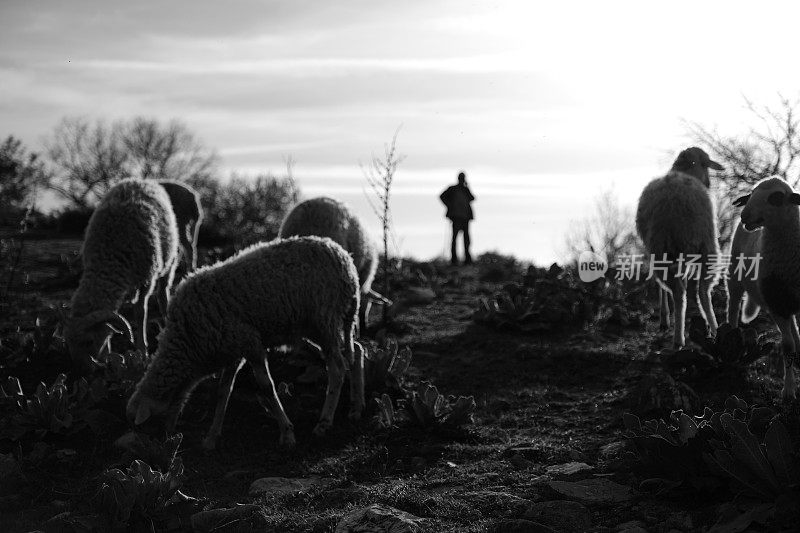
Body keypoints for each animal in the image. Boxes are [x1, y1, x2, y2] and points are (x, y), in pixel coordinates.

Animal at [64, 177, 180, 372]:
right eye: (68, 342)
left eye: (89, 341)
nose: (81, 371)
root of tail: (139, 180)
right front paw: (109, 354)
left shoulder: (147, 279)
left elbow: (141, 312)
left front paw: (142, 351)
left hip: (168, 263)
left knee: (163, 293)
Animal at [126, 235, 364, 446]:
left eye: (146, 426)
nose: (164, 440)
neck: (188, 346)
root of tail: (346, 260)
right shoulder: (232, 350)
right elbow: (223, 391)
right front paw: (212, 437)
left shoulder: (250, 344)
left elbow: (267, 388)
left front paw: (287, 432)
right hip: (316, 327)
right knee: (355, 351)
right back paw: (356, 407)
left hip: (324, 319)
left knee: (337, 367)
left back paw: (324, 423)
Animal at [636, 145, 724, 348]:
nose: (709, 183)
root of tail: (675, 205)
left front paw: (664, 319)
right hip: (707, 245)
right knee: (701, 291)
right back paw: (712, 329)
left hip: (663, 248)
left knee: (678, 291)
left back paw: (679, 337)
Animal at [728, 177, 796, 402]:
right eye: (751, 194)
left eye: (776, 197)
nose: (744, 215)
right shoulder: (776, 304)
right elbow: (787, 347)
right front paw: (788, 391)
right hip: (735, 275)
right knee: (733, 305)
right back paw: (729, 334)